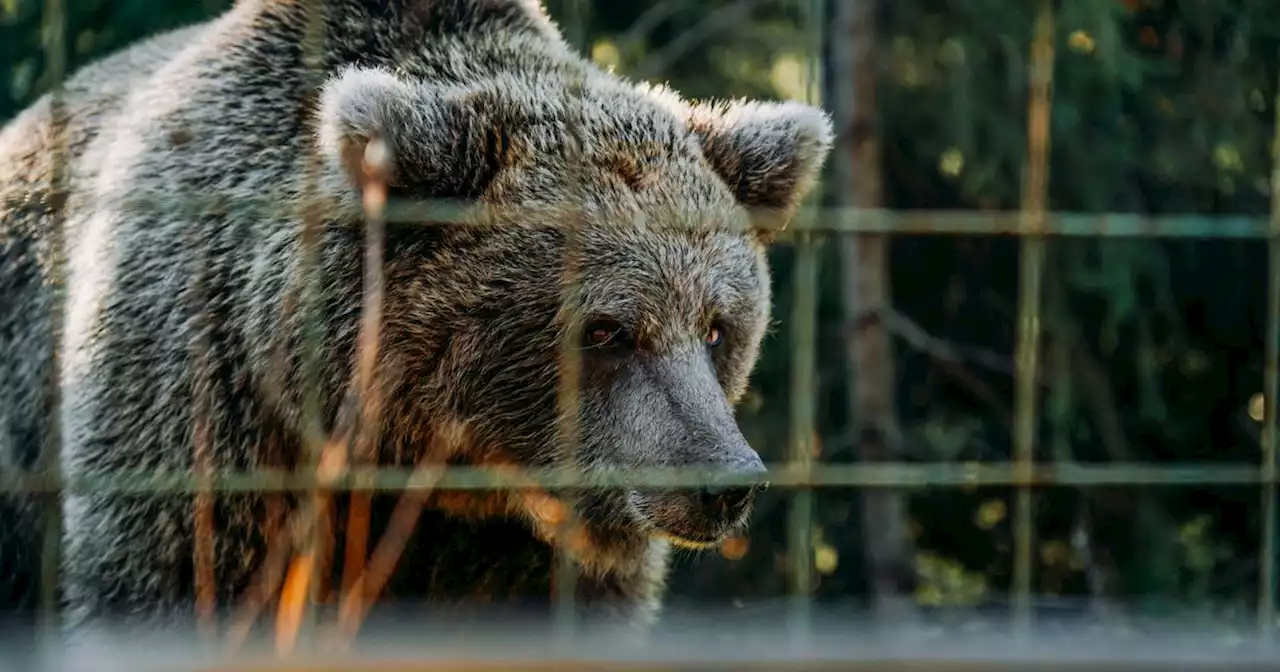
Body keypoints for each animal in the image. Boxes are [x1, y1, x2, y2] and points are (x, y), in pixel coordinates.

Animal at [0, 0, 834, 642]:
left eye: (718, 327)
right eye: (606, 329)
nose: (723, 483)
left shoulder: (508, 546)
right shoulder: (204, 403)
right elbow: (170, 581)